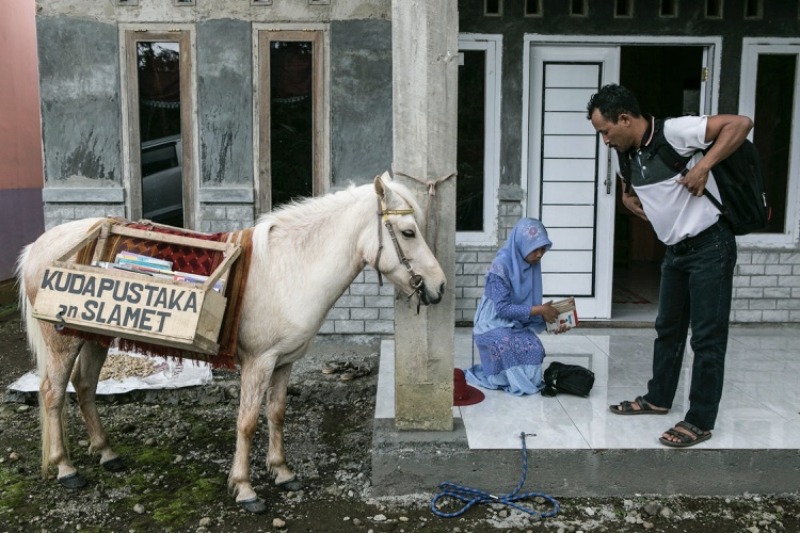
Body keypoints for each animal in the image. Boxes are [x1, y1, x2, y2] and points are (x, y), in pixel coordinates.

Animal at [17, 172, 444, 512]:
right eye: (408, 232)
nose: (438, 288)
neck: (292, 268)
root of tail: (40, 245)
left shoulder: (284, 362)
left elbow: (277, 414)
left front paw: (283, 472)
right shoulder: (259, 362)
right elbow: (248, 421)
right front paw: (245, 489)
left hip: (93, 337)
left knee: (85, 386)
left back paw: (106, 453)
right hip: (62, 342)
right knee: (53, 393)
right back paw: (65, 468)